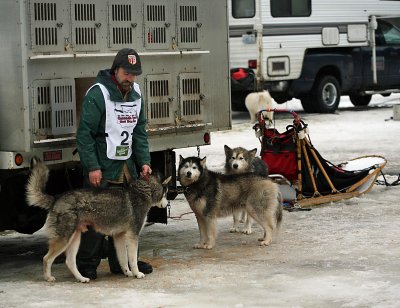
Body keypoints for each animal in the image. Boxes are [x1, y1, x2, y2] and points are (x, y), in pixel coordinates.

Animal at [26, 158, 170, 282]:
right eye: (166, 193)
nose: (167, 204)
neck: (141, 191)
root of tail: (56, 198)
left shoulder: (119, 236)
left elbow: (123, 259)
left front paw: (127, 272)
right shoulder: (132, 236)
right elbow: (133, 259)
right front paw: (137, 273)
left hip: (74, 238)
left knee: (70, 262)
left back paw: (81, 278)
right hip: (64, 239)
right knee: (46, 258)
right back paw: (48, 278)